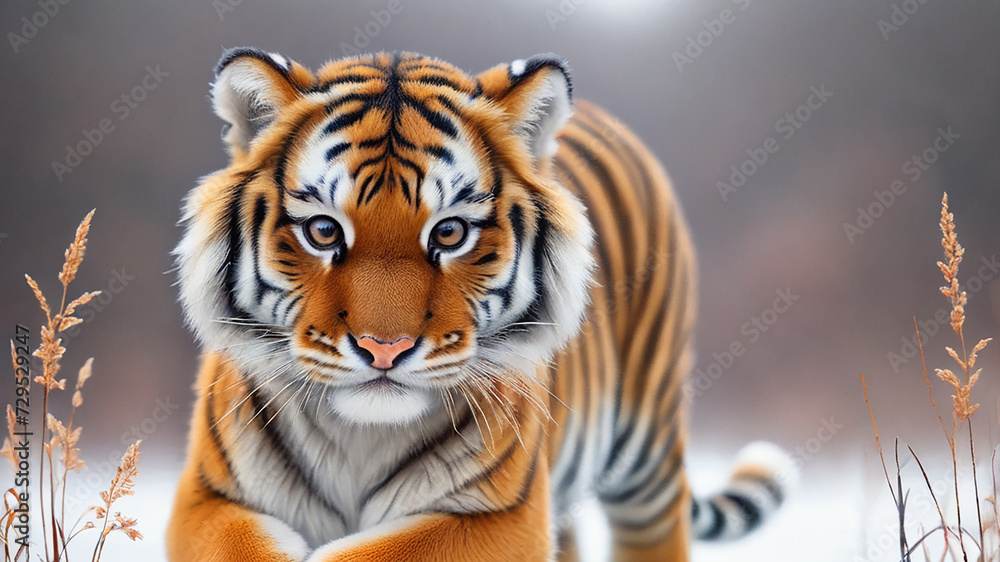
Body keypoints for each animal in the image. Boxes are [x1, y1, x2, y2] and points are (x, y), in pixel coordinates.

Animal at [166, 48, 794, 562]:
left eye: (449, 234)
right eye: (323, 231)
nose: (383, 349)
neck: (361, 438)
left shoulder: (502, 515)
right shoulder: (205, 498)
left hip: (647, 452)